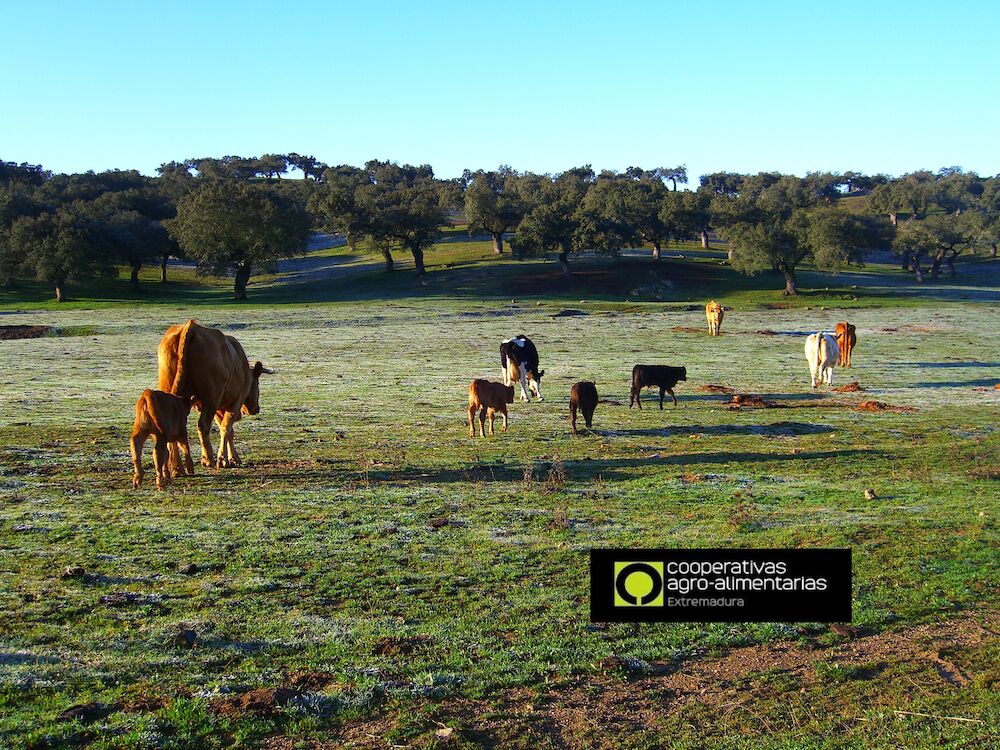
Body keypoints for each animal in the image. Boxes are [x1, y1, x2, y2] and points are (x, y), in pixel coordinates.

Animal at [158, 318, 274, 470]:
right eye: (257, 383)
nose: (255, 409)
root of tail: (191, 327)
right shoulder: (233, 402)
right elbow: (226, 428)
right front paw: (224, 459)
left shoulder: (219, 407)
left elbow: (227, 430)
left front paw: (232, 457)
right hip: (210, 399)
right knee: (203, 425)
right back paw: (208, 459)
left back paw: (176, 467)